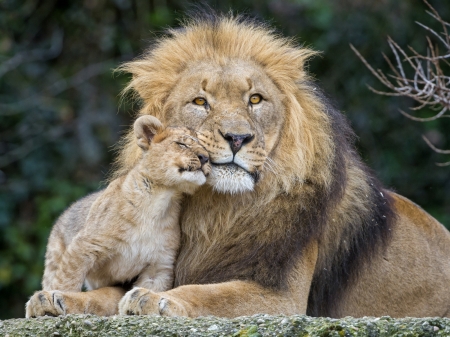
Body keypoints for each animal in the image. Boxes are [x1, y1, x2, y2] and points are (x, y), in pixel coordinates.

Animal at [27, 13, 450, 318]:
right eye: (200, 102)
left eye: (256, 99)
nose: (237, 138)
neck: (219, 210)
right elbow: (104, 292)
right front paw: (55, 298)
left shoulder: (282, 298)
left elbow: (212, 294)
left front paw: (155, 300)